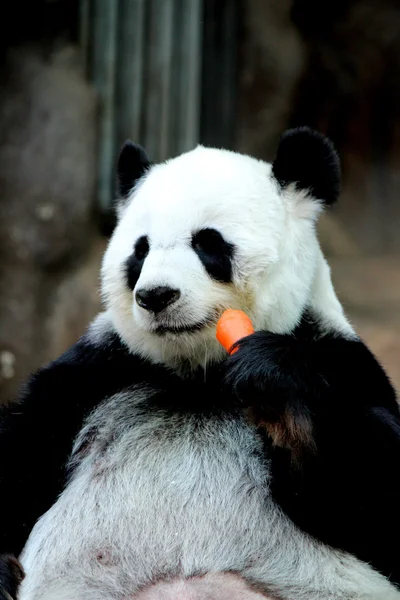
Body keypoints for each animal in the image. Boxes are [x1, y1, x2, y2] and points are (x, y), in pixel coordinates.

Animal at [0, 126, 400, 600]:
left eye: (209, 243)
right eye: (140, 251)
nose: (155, 295)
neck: (200, 375)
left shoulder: (337, 357)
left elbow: (373, 489)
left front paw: (271, 382)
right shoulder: (99, 371)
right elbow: (20, 444)